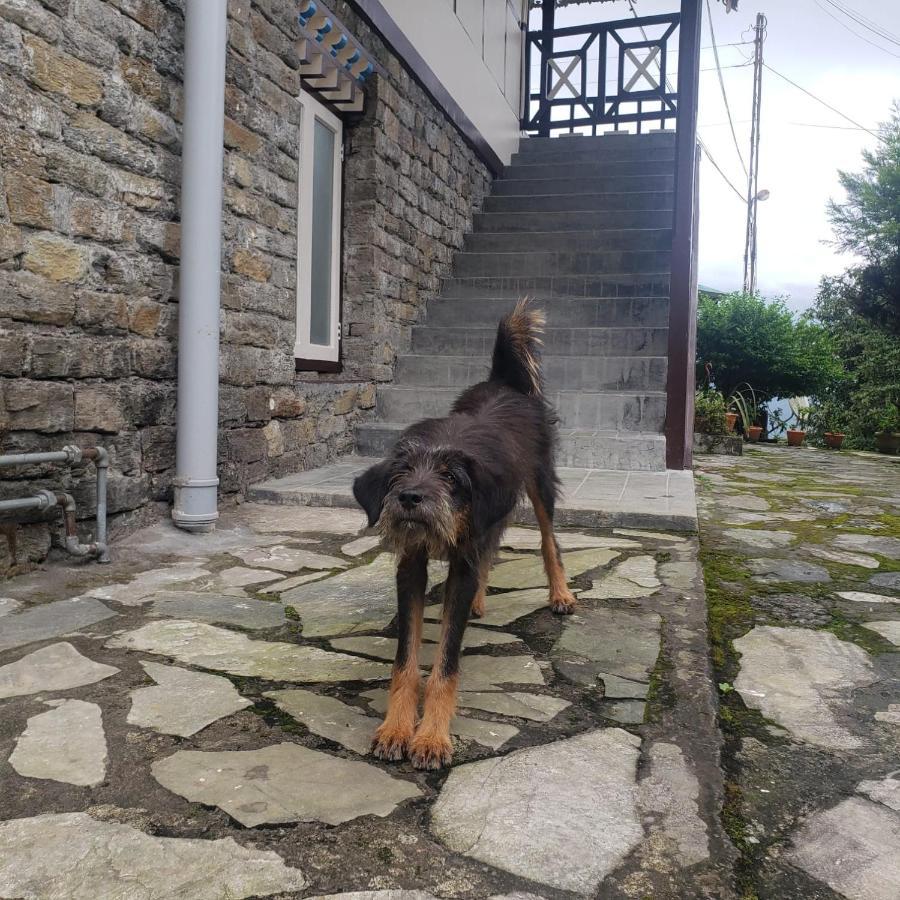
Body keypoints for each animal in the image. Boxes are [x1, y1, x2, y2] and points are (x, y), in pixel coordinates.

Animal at [354, 300, 576, 768]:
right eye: (399, 473)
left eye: (452, 478)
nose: (410, 497)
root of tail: (503, 381)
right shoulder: (412, 566)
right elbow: (405, 659)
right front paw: (395, 729)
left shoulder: (465, 551)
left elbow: (446, 662)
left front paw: (431, 738)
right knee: (490, 552)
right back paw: (477, 599)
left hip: (540, 483)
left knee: (548, 541)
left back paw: (560, 594)